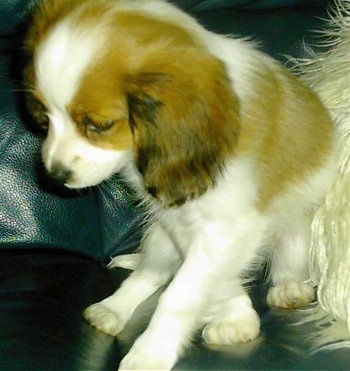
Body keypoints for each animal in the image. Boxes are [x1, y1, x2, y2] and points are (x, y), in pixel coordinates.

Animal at [23, 0, 336, 370]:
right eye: (45, 116)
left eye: (99, 125)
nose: (54, 175)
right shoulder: (178, 217)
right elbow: (197, 281)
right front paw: (237, 317)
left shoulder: (229, 227)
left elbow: (184, 292)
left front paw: (151, 352)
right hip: (159, 232)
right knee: (151, 271)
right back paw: (112, 308)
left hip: (296, 227)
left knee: (288, 260)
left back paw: (289, 288)